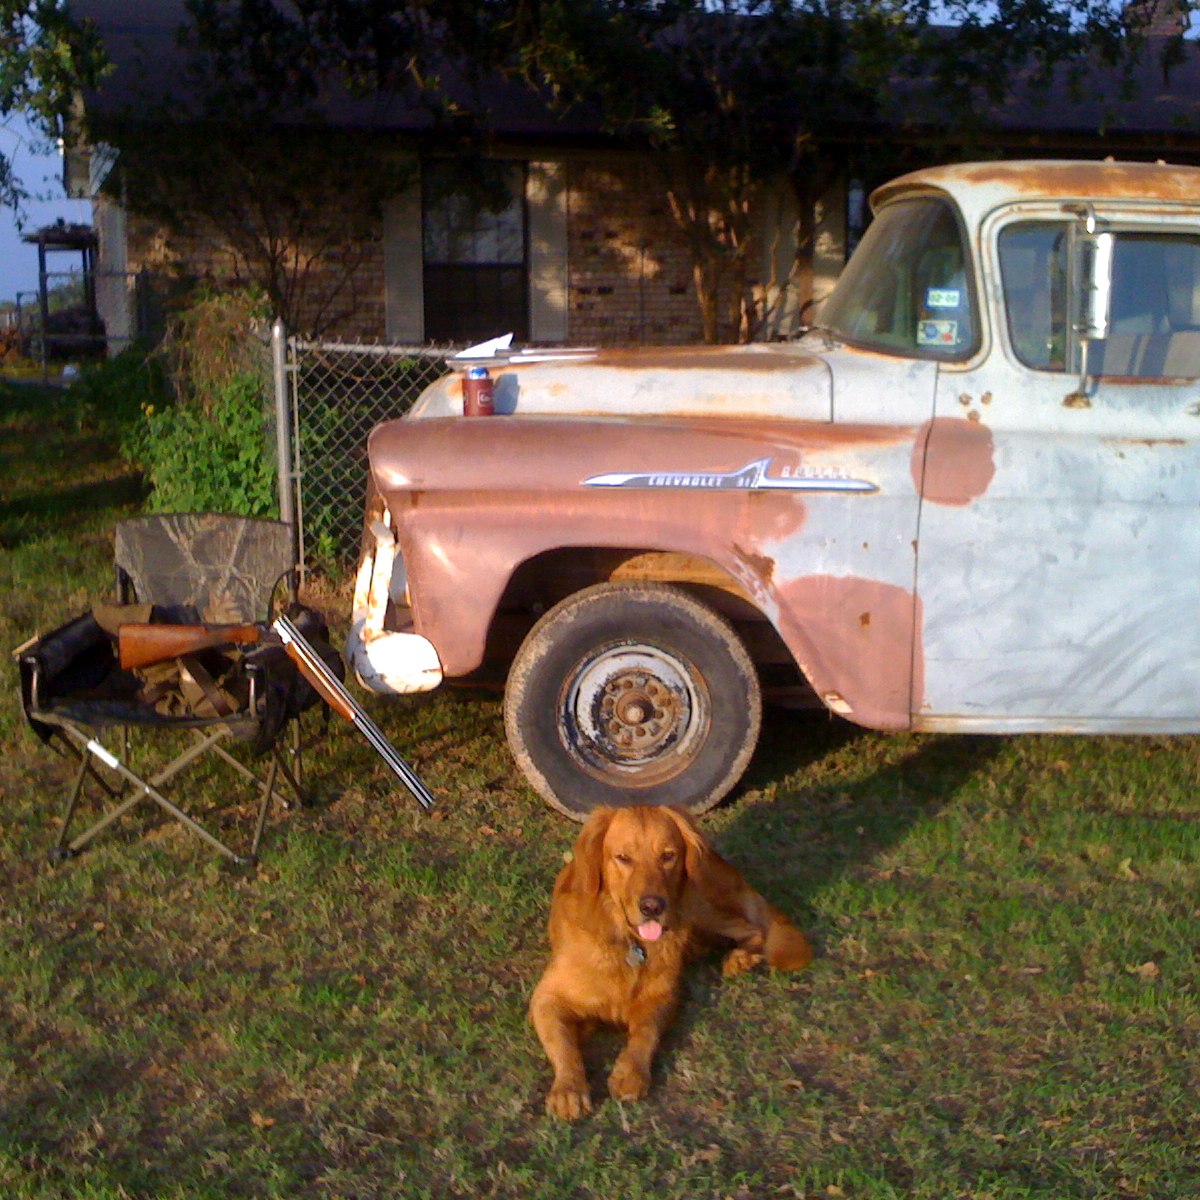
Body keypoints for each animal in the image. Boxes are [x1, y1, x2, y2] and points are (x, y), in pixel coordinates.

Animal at [530, 801, 811, 1118]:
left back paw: (740, 958)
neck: (629, 942)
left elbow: (645, 1033)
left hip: (697, 905)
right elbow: (563, 1044)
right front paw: (569, 1089)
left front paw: (630, 1073)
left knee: (752, 927)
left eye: (667, 856)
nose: (652, 906)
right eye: (623, 858)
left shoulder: (663, 996)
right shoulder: (546, 998)